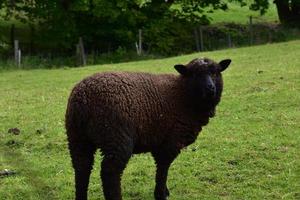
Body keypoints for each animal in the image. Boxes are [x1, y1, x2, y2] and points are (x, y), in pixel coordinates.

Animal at [64, 57, 231, 199]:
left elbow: (162, 169)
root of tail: (84, 98)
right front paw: (160, 194)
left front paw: (164, 191)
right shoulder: (171, 141)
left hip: (77, 137)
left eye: (215, 72)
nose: (210, 88)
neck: (183, 94)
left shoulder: (160, 141)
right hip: (115, 138)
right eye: (195, 74)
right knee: (110, 172)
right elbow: (163, 168)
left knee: (82, 167)